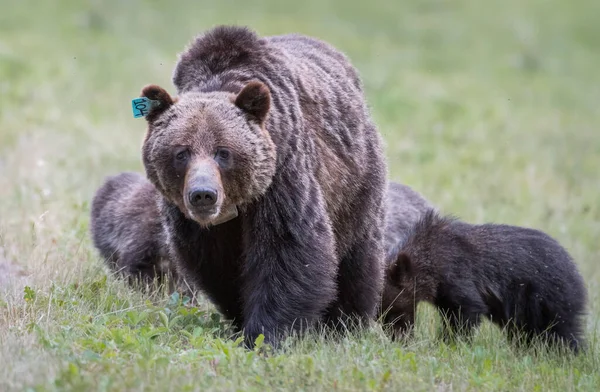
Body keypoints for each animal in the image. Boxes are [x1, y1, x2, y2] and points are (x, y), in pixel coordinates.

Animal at [138, 26, 386, 348]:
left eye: (223, 152)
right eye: (182, 153)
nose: (203, 195)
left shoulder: (282, 177)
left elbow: (289, 252)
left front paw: (265, 334)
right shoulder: (193, 224)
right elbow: (218, 265)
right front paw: (240, 318)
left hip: (355, 185)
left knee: (357, 261)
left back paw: (345, 323)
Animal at [384, 211, 584, 352]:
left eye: (389, 311)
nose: (395, 339)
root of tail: (575, 270)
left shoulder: (457, 278)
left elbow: (466, 312)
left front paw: (449, 343)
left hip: (547, 299)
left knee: (562, 333)